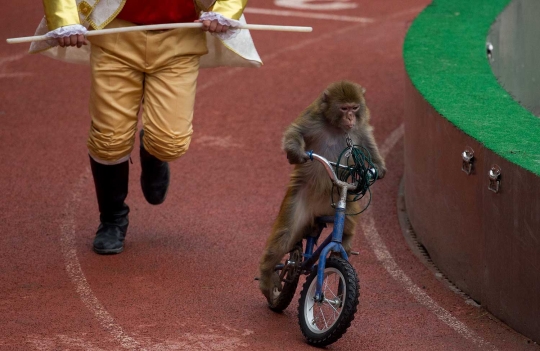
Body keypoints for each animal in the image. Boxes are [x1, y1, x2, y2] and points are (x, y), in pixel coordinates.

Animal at [256, 80, 384, 302]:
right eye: (344, 108)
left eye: (355, 107)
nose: (350, 118)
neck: (335, 126)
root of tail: (318, 212)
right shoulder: (312, 118)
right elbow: (296, 131)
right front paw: (295, 153)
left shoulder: (361, 129)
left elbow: (369, 147)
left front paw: (377, 169)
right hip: (299, 202)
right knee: (284, 238)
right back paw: (268, 278)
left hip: (342, 204)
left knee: (347, 224)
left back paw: (344, 244)